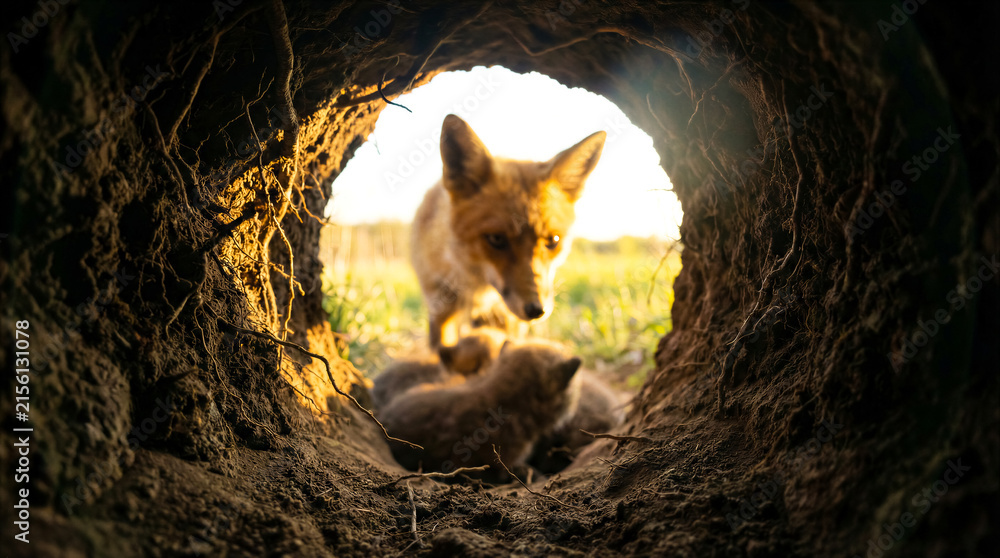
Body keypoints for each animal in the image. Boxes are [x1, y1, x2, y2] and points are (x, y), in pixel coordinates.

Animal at [411, 114, 606, 348]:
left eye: (553, 241)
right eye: (496, 239)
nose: (537, 311)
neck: (478, 290)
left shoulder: (508, 321)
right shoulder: (440, 307)